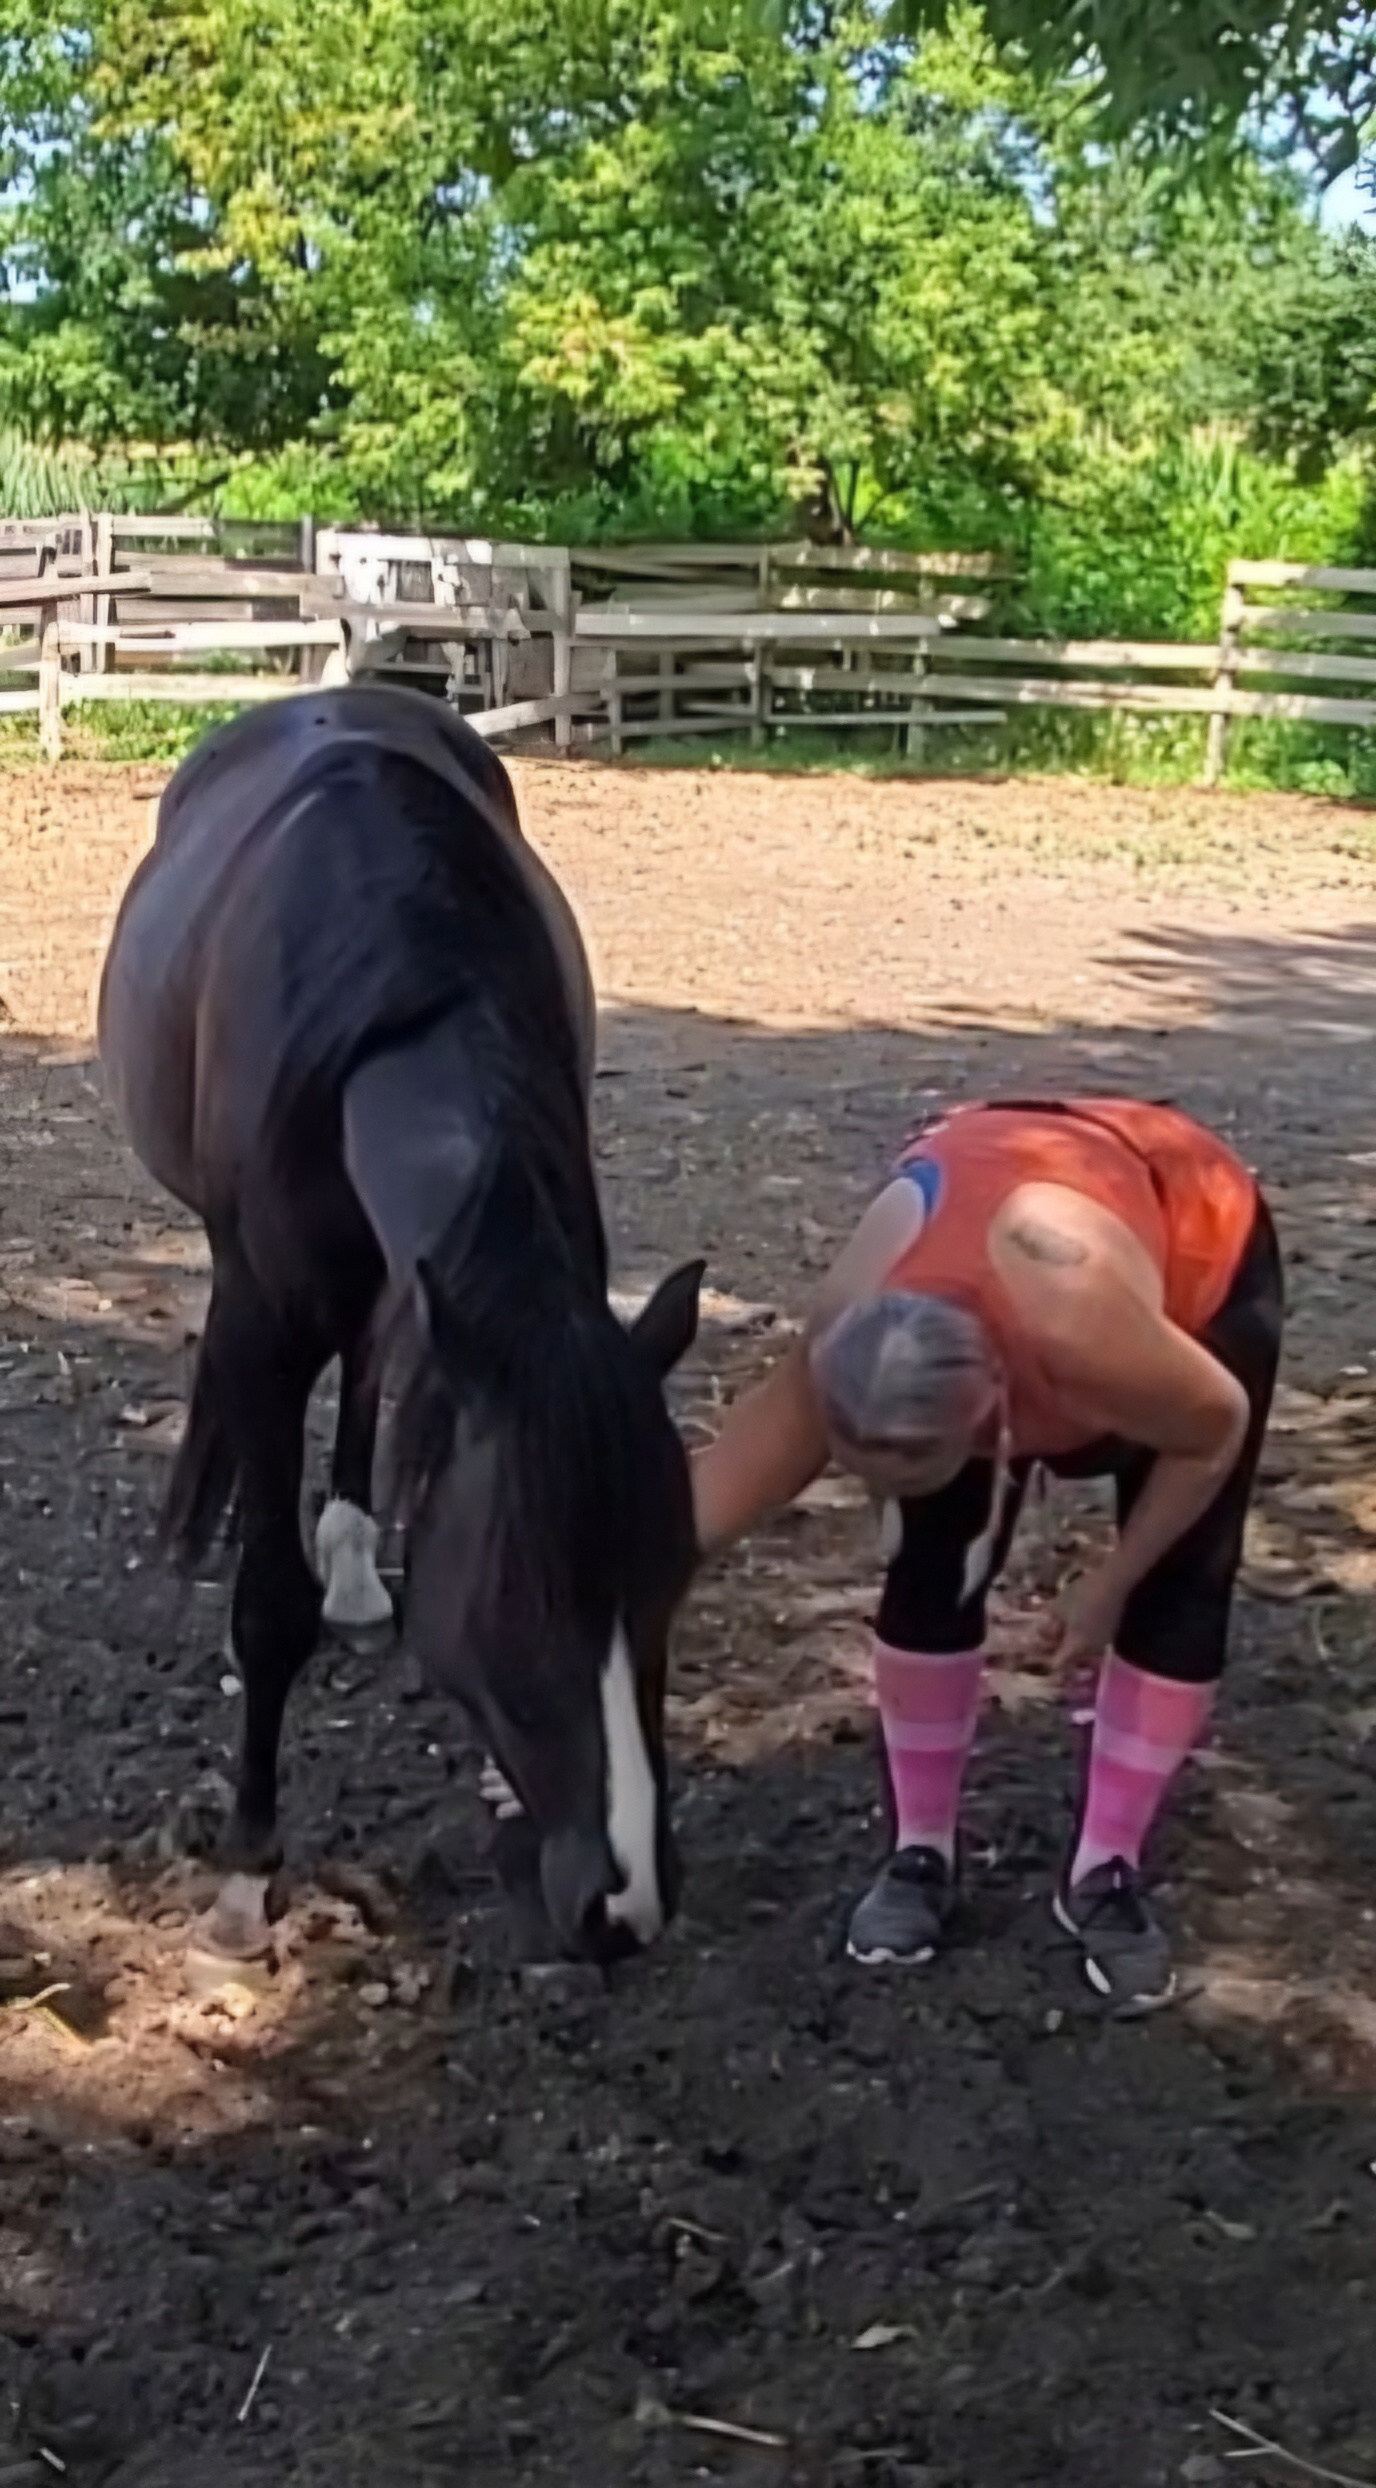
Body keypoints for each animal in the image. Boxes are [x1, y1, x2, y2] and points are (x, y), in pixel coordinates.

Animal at [98, 685, 704, 1966]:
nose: (623, 1902)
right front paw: (245, 1879)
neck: (404, 997)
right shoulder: (263, 1314)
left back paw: (348, 1556)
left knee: (374, 1363)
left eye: (674, 1573)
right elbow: (268, 1605)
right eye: (518, 1593)